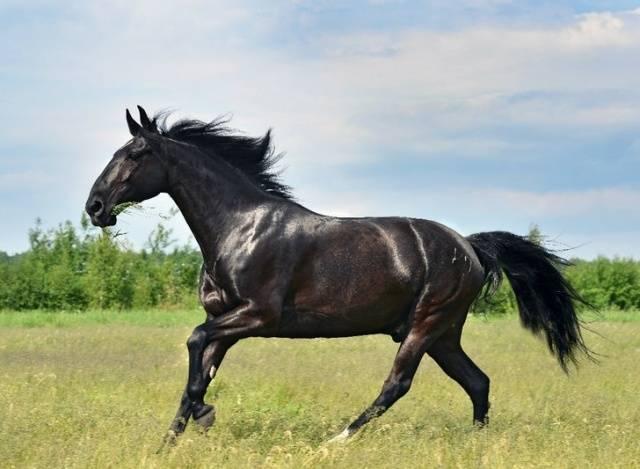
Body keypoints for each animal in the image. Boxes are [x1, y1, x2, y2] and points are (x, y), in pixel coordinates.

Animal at [85, 106, 591, 443]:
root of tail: (470, 247)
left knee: (397, 385)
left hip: (426, 326)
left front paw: (201, 417)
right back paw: (477, 441)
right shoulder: (225, 321)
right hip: (444, 334)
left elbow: (194, 344)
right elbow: (200, 370)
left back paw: (336, 440)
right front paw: (171, 440)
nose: (95, 206)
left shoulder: (257, 316)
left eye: (136, 153)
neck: (239, 227)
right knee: (477, 382)